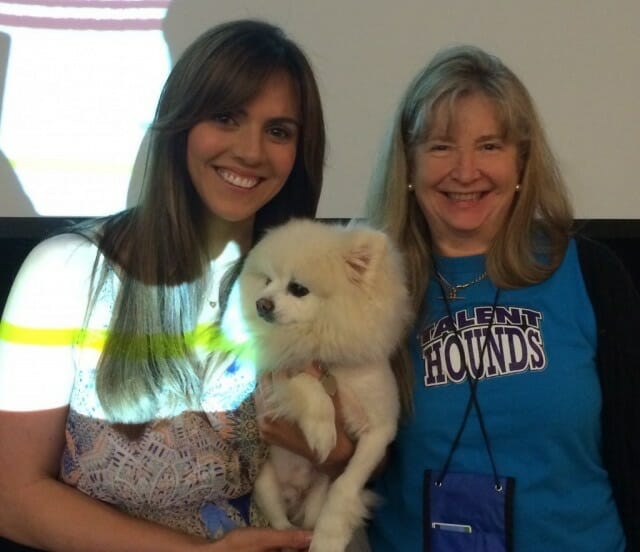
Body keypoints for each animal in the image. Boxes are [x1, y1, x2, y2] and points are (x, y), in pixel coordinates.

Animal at [221, 218, 410, 548]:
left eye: (298, 289)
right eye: (267, 281)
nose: (261, 303)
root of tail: (294, 494)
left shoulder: (379, 430)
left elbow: (347, 484)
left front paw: (330, 535)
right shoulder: (274, 383)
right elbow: (307, 383)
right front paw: (322, 429)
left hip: (315, 496)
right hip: (265, 485)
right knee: (280, 524)